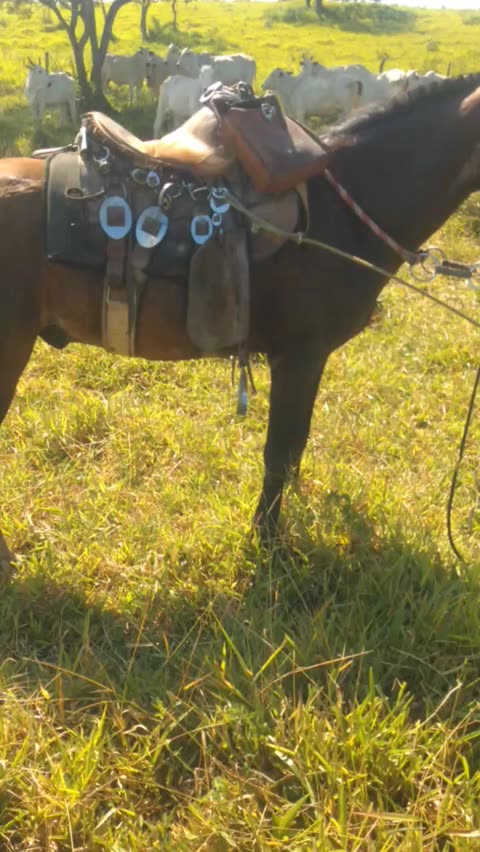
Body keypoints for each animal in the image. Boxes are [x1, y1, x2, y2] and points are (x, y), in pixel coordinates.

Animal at [1, 75, 480, 570]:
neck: (346, 211)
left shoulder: (307, 360)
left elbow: (295, 444)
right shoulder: (300, 357)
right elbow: (280, 452)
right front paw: (267, 541)